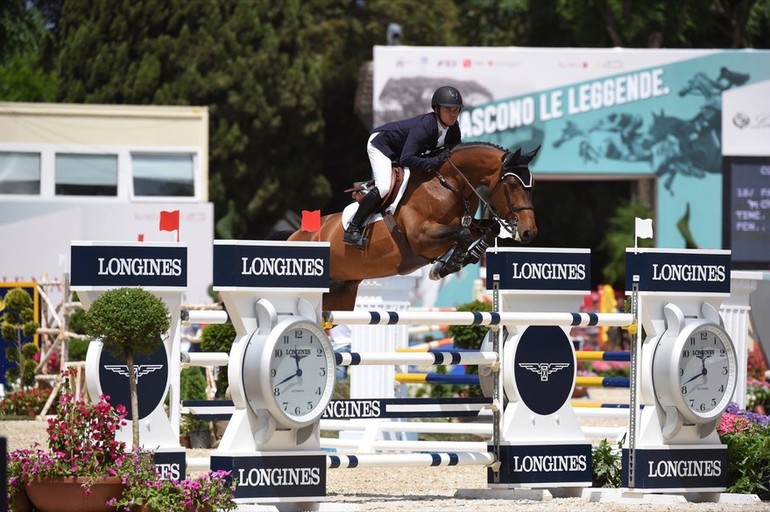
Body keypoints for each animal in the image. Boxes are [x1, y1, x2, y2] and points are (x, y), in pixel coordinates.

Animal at [284, 144, 536, 312]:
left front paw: (463, 258)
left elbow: (488, 229)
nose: (529, 232)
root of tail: (294, 236)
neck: (449, 185)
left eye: (531, 186)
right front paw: (447, 266)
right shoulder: (420, 237)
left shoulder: (465, 225)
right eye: (513, 185)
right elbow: (463, 235)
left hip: (340, 293)